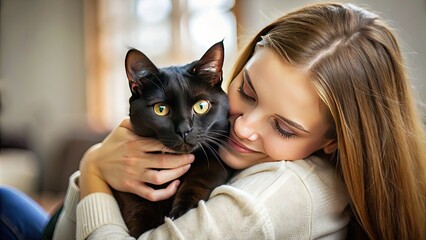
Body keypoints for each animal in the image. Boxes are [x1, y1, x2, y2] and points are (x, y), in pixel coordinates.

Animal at [113, 40, 233, 236]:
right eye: (161, 109)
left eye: (201, 106)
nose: (184, 130)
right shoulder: (126, 186)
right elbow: (137, 208)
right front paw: (142, 228)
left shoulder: (215, 163)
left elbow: (196, 183)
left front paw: (179, 213)